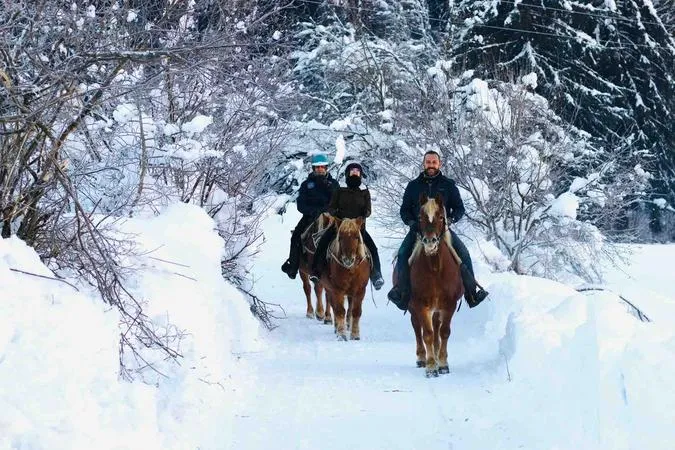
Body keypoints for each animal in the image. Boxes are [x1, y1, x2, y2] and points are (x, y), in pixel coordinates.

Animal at [409, 193, 464, 377]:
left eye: (440, 217)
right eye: (420, 217)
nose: (430, 242)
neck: (435, 269)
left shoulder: (449, 304)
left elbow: (444, 332)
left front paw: (443, 364)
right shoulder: (420, 304)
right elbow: (427, 334)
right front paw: (431, 367)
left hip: (437, 308)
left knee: (437, 328)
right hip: (414, 307)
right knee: (417, 328)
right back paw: (421, 358)